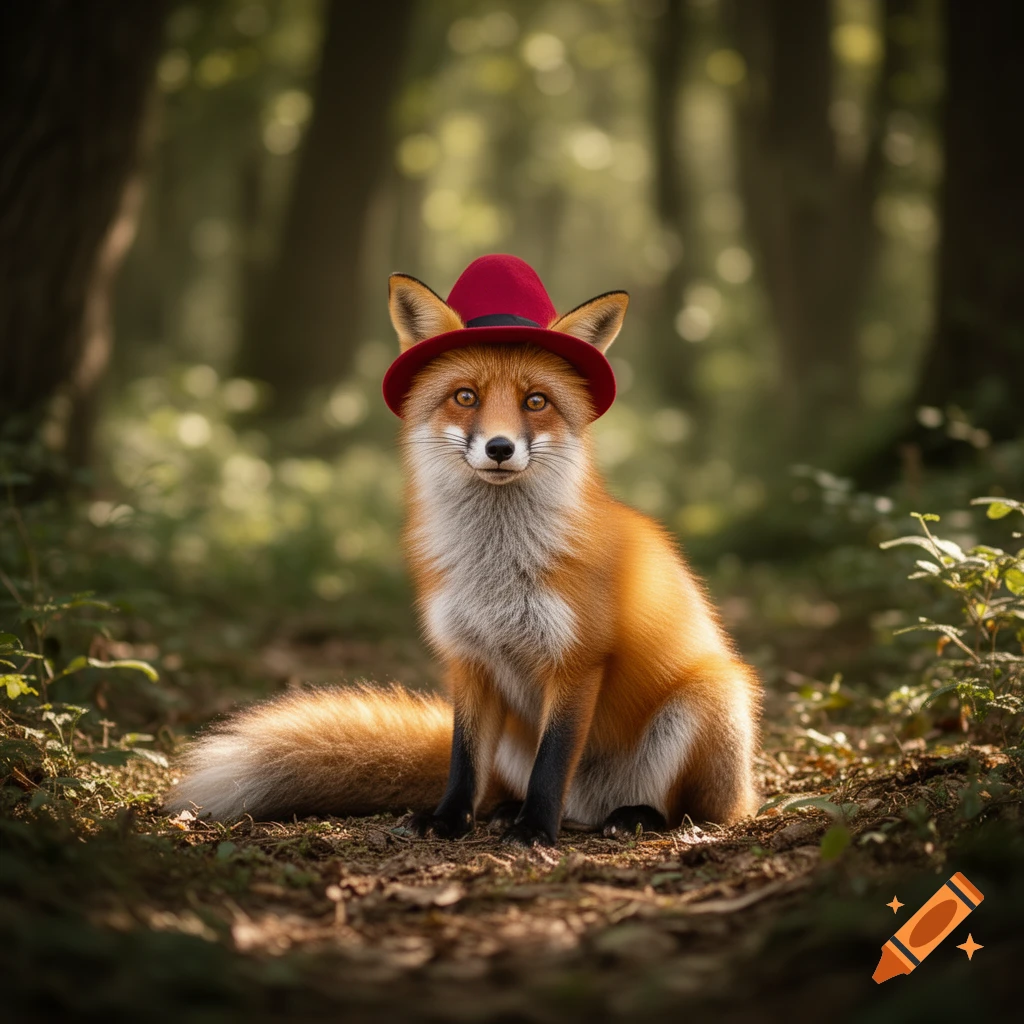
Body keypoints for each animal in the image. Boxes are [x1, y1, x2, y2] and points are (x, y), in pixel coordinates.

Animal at [165, 257, 762, 846]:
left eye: (535, 401)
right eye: (466, 396)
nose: (500, 447)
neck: (495, 569)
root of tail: (593, 804)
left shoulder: (576, 660)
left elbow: (553, 761)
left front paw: (535, 829)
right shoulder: (469, 658)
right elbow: (463, 758)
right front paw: (450, 819)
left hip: (711, 698)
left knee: (699, 812)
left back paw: (635, 816)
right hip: (522, 748)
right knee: (515, 790)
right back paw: (511, 811)